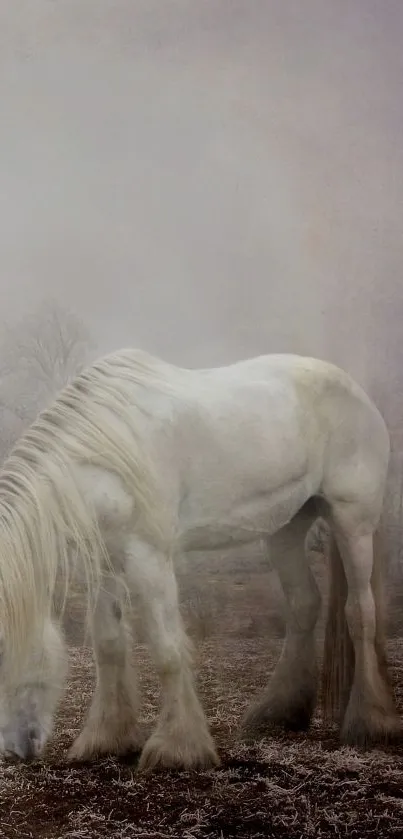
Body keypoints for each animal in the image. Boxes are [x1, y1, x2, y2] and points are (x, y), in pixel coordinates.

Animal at [0, 352, 400, 772]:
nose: (15, 747)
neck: (104, 451)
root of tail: (355, 389)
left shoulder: (150, 558)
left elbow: (167, 649)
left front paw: (177, 748)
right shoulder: (106, 563)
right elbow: (108, 645)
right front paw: (105, 738)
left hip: (353, 521)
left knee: (360, 612)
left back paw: (370, 722)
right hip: (286, 527)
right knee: (304, 604)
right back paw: (278, 712)